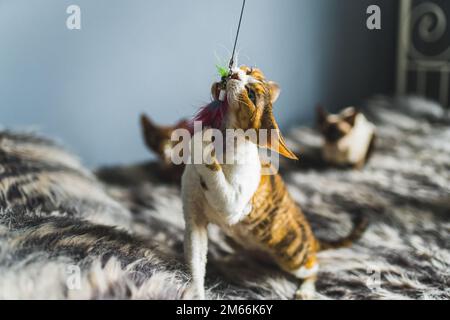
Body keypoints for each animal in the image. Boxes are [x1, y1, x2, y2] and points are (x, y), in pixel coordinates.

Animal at [183, 66, 370, 298]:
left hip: (291, 255)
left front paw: (201, 137)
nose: (233, 73)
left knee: (314, 267)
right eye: (246, 70)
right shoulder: (194, 221)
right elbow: (195, 262)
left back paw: (305, 290)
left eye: (251, 95)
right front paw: (195, 292)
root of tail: (313, 239)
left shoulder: (232, 204)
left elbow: (215, 174)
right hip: (236, 240)